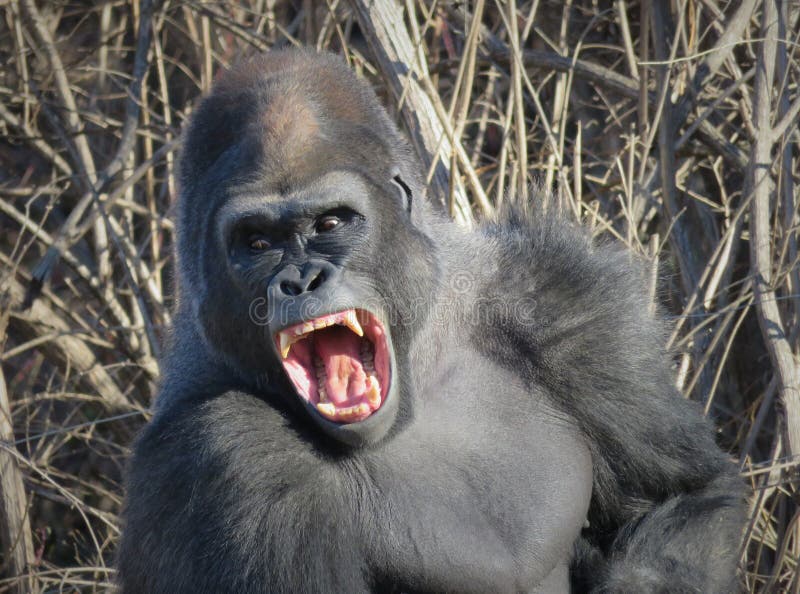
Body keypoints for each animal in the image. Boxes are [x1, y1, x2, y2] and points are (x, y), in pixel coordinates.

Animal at [117, 49, 745, 593]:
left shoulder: (559, 297)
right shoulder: (219, 451)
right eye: (256, 243)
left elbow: (689, 494)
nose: (299, 282)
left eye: (330, 223)